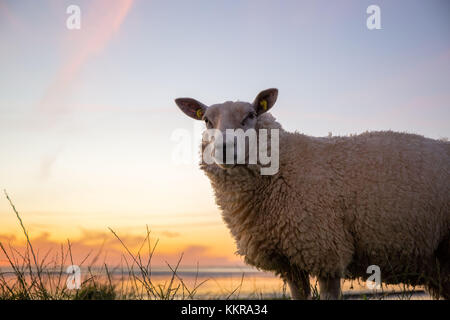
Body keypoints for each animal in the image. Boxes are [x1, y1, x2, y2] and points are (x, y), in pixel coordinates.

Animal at [176, 89, 450, 298]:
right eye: (206, 120)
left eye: (251, 115)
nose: (224, 148)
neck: (284, 168)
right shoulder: (289, 263)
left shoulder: (325, 251)